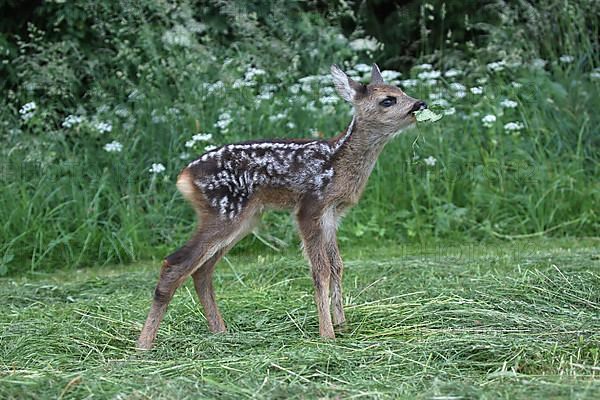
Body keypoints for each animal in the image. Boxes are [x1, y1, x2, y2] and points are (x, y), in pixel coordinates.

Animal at [137, 64, 426, 348]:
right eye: (388, 100)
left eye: (402, 91)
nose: (420, 103)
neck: (337, 164)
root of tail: (184, 176)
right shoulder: (309, 207)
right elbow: (320, 270)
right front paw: (327, 334)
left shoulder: (333, 213)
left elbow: (337, 266)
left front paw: (343, 327)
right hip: (224, 212)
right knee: (175, 263)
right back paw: (143, 345)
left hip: (244, 218)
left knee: (202, 271)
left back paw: (221, 333)